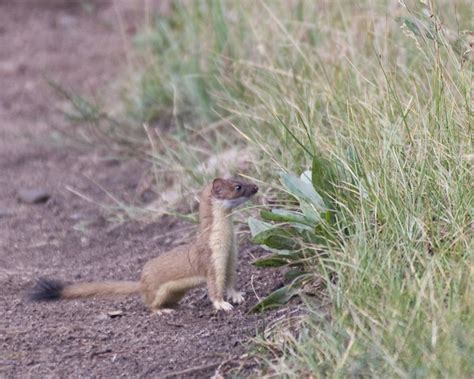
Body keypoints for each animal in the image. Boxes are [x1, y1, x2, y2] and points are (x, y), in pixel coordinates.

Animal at [29, 180, 260, 314]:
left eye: (242, 179)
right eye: (238, 187)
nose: (256, 187)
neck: (226, 240)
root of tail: (141, 281)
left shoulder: (231, 256)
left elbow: (230, 280)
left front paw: (236, 296)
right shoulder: (212, 259)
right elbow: (214, 285)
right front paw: (222, 304)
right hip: (156, 291)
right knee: (149, 304)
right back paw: (162, 311)